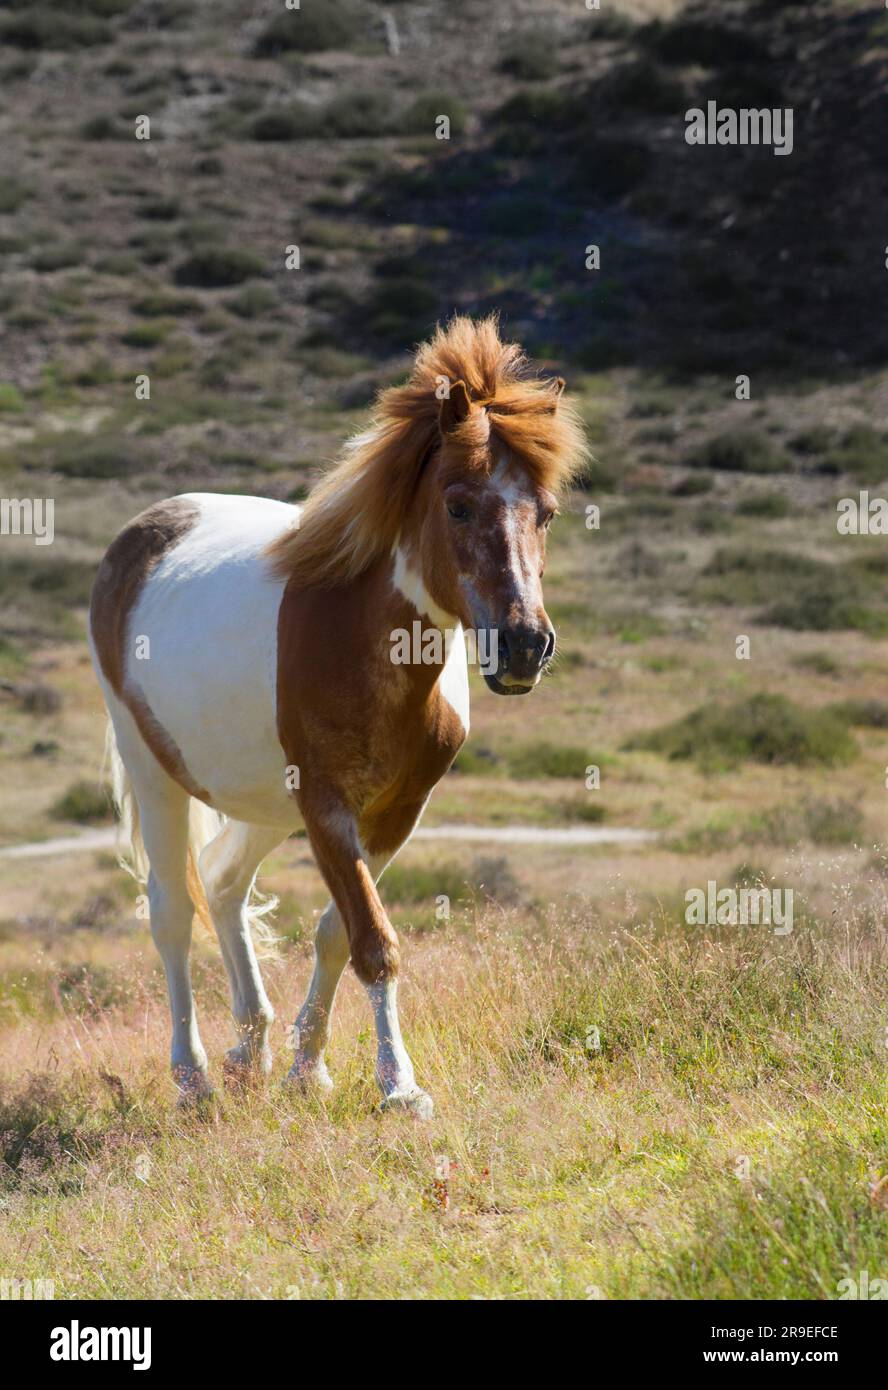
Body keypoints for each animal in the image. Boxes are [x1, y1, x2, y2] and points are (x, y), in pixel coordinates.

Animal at [88, 318, 589, 1117]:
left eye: (547, 512)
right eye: (457, 504)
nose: (524, 646)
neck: (363, 638)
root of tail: (138, 536)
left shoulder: (393, 813)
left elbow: (336, 933)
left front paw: (308, 1069)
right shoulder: (326, 807)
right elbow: (372, 941)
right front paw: (400, 1086)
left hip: (261, 799)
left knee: (223, 884)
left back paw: (250, 1050)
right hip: (154, 771)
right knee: (171, 912)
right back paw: (194, 1078)